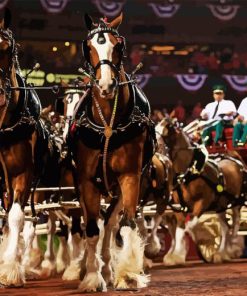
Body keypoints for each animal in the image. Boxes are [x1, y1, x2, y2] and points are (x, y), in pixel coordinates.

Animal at [69, 13, 154, 292]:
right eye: (89, 47)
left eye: (118, 46)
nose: (106, 84)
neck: (107, 124)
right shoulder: (86, 180)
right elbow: (91, 229)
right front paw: (91, 277)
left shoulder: (130, 176)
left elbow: (125, 224)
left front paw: (126, 274)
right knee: (94, 223)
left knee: (110, 224)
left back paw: (108, 268)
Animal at [155, 119, 246, 264]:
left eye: (163, 132)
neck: (188, 173)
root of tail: (234, 158)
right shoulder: (179, 208)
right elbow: (180, 229)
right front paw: (176, 256)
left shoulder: (202, 203)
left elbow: (191, 226)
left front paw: (201, 237)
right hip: (221, 205)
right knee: (225, 228)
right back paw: (221, 253)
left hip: (237, 202)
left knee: (235, 224)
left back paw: (232, 247)